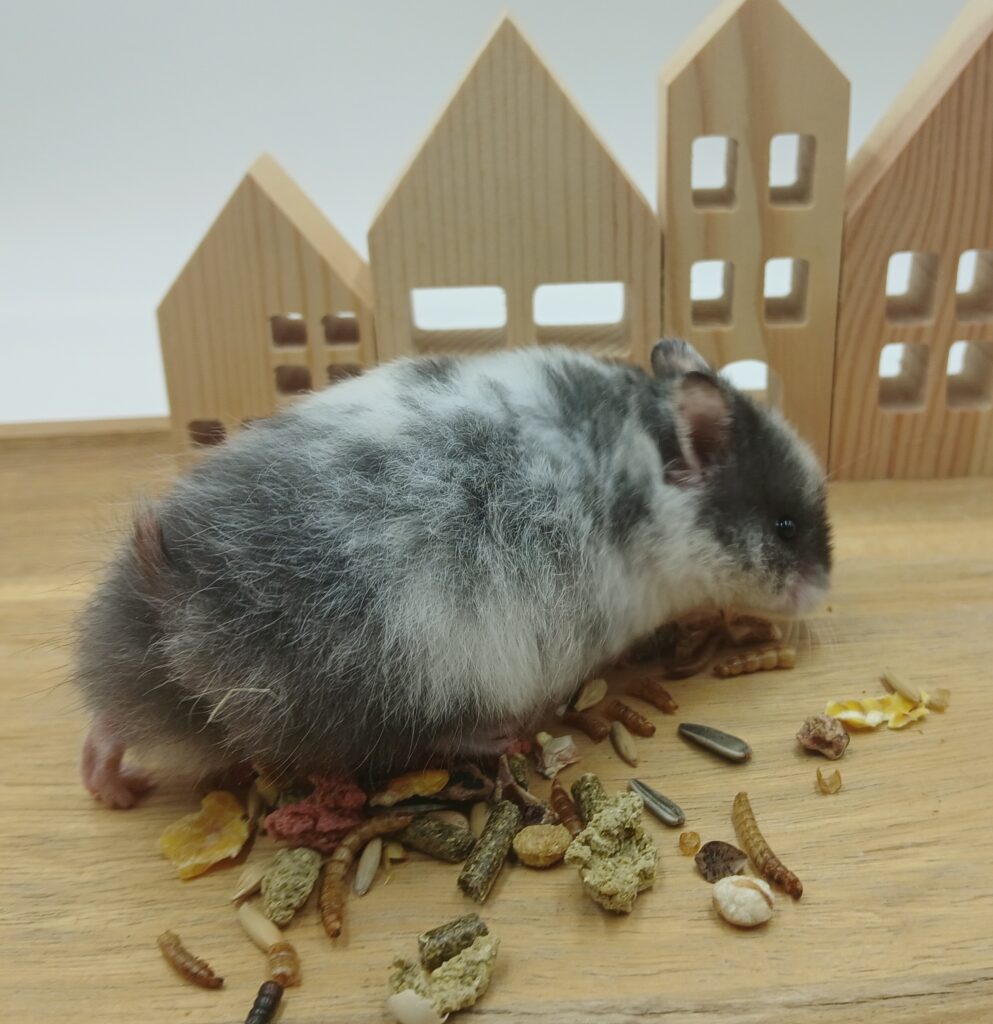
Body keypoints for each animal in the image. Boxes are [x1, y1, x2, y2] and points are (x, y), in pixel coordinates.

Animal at [75, 340, 831, 807]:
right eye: (785, 527)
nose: (824, 593)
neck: (640, 479)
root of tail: (182, 592)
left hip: (136, 655)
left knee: (113, 719)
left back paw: (110, 787)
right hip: (407, 674)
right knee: (399, 740)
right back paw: (502, 737)